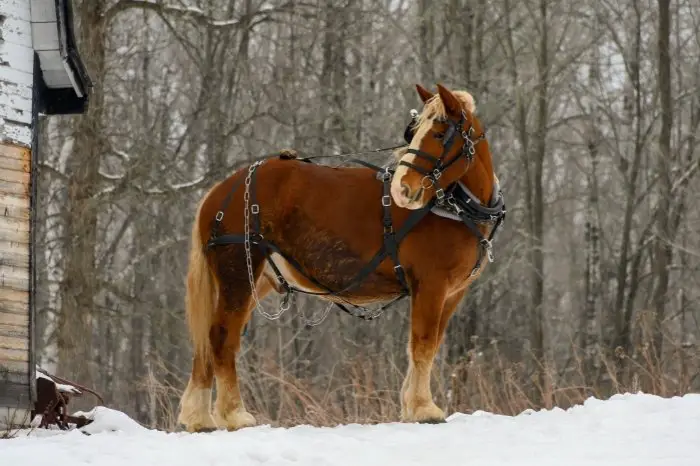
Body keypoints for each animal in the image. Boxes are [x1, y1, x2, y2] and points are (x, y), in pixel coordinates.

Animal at [175, 83, 504, 434]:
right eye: (414, 132)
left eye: (440, 134)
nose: (402, 189)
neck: (454, 207)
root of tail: (222, 190)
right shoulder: (430, 284)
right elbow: (423, 342)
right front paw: (423, 408)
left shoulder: (453, 292)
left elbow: (430, 343)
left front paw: (410, 403)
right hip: (238, 274)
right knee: (221, 336)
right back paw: (234, 414)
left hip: (255, 280)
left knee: (207, 341)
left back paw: (198, 416)